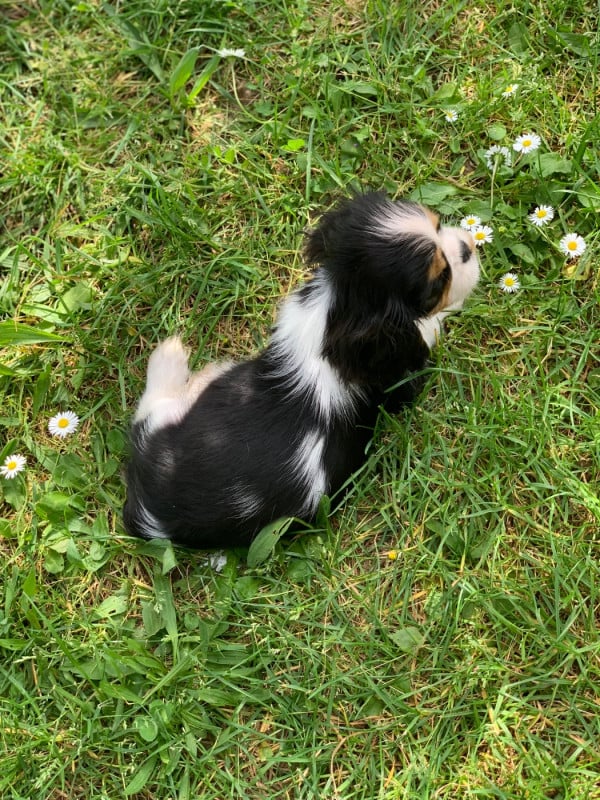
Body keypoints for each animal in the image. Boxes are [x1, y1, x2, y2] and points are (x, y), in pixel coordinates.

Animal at [123, 191, 479, 548]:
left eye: (438, 225)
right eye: (439, 280)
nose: (468, 247)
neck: (344, 310)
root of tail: (155, 519)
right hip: (163, 420)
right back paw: (171, 355)